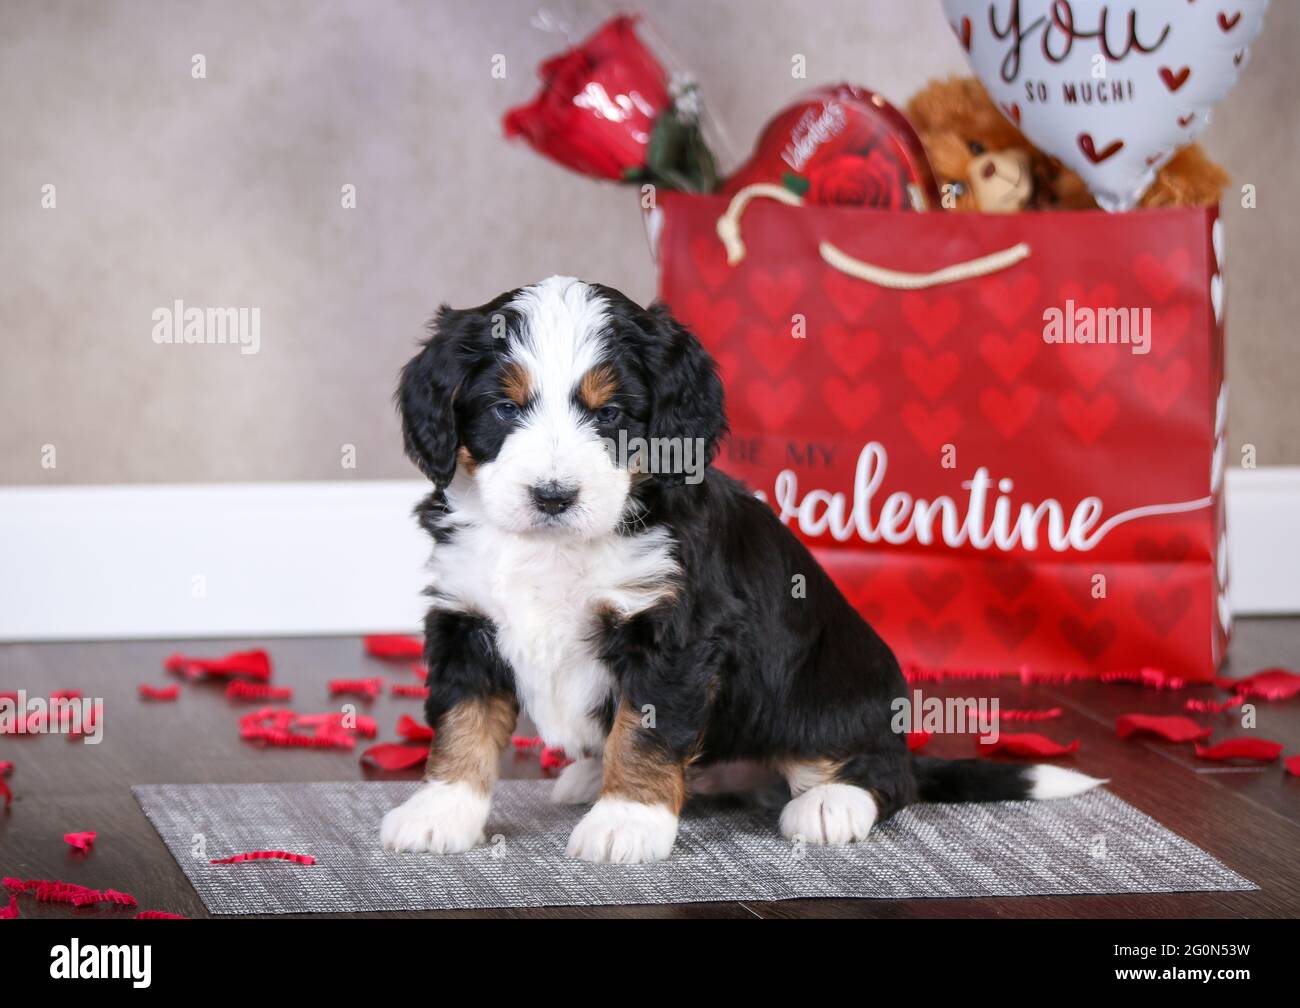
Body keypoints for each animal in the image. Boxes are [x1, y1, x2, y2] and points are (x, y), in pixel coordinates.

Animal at [379, 278, 1102, 868]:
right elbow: (463, 724)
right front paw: (440, 813)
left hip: (828, 692)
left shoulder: (675, 632)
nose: (553, 496)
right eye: (505, 409)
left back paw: (832, 804)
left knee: (884, 775)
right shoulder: (466, 616)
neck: (555, 548)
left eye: (609, 414)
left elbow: (645, 731)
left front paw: (626, 822)